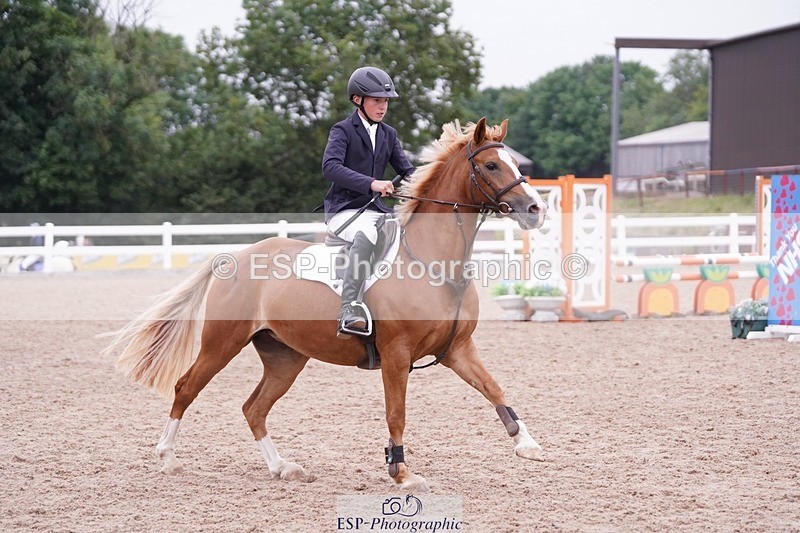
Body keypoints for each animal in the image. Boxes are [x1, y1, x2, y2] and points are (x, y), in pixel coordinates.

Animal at [104, 118, 548, 491]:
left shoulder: (458, 349)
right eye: (491, 165)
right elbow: (396, 413)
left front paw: (526, 443)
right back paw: (168, 458)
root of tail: (235, 257)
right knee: (187, 388)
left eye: (513, 162)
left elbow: (494, 388)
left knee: (254, 408)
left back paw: (282, 467)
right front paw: (401, 472)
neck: (434, 262)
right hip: (222, 343)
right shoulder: (396, 355)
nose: (536, 209)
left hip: (284, 356)